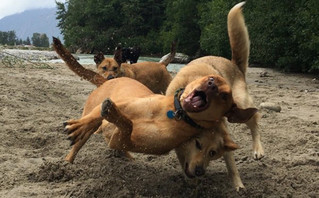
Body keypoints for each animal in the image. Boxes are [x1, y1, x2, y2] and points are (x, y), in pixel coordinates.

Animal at [63, 75, 258, 163]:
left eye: (224, 95)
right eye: (211, 78)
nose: (211, 85)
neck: (172, 114)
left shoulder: (124, 140)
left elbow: (128, 124)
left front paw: (113, 114)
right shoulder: (123, 104)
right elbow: (123, 118)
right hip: (92, 113)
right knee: (81, 138)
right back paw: (69, 158)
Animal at [166, 1, 264, 190]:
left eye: (212, 152)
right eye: (211, 79)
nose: (211, 85)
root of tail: (234, 64)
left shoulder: (224, 141)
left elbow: (232, 165)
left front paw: (238, 186)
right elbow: (183, 161)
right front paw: (192, 181)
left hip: (241, 105)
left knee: (255, 120)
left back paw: (258, 149)